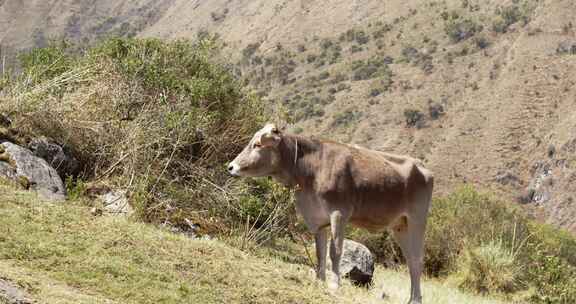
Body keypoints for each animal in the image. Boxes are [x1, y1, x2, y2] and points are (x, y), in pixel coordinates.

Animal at [227, 123, 434, 304]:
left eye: (257, 144)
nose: (231, 166)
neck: (310, 169)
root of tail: (421, 165)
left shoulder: (339, 212)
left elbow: (335, 251)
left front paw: (335, 284)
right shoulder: (318, 219)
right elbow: (320, 252)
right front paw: (319, 280)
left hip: (417, 220)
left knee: (417, 260)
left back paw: (416, 300)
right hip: (400, 225)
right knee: (411, 261)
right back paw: (411, 298)